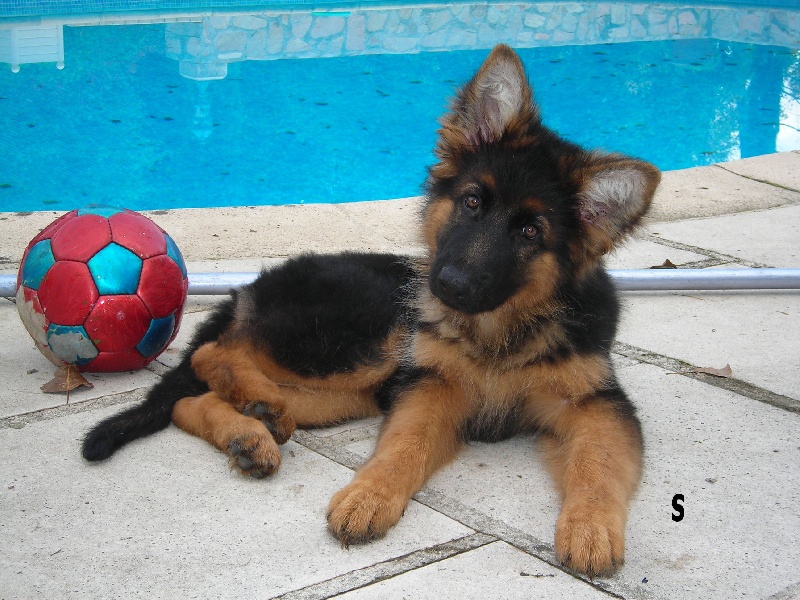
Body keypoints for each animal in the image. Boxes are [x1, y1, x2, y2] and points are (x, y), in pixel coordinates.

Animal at [81, 44, 660, 580]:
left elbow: (598, 465)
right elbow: (403, 446)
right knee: (211, 354)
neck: (499, 331)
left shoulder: (596, 403)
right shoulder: (429, 385)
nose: (446, 285)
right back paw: (256, 413)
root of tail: (247, 290)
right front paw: (370, 495)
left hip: (345, 391)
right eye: (473, 202)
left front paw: (590, 529)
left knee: (191, 401)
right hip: (365, 340)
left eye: (531, 233)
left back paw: (252, 431)